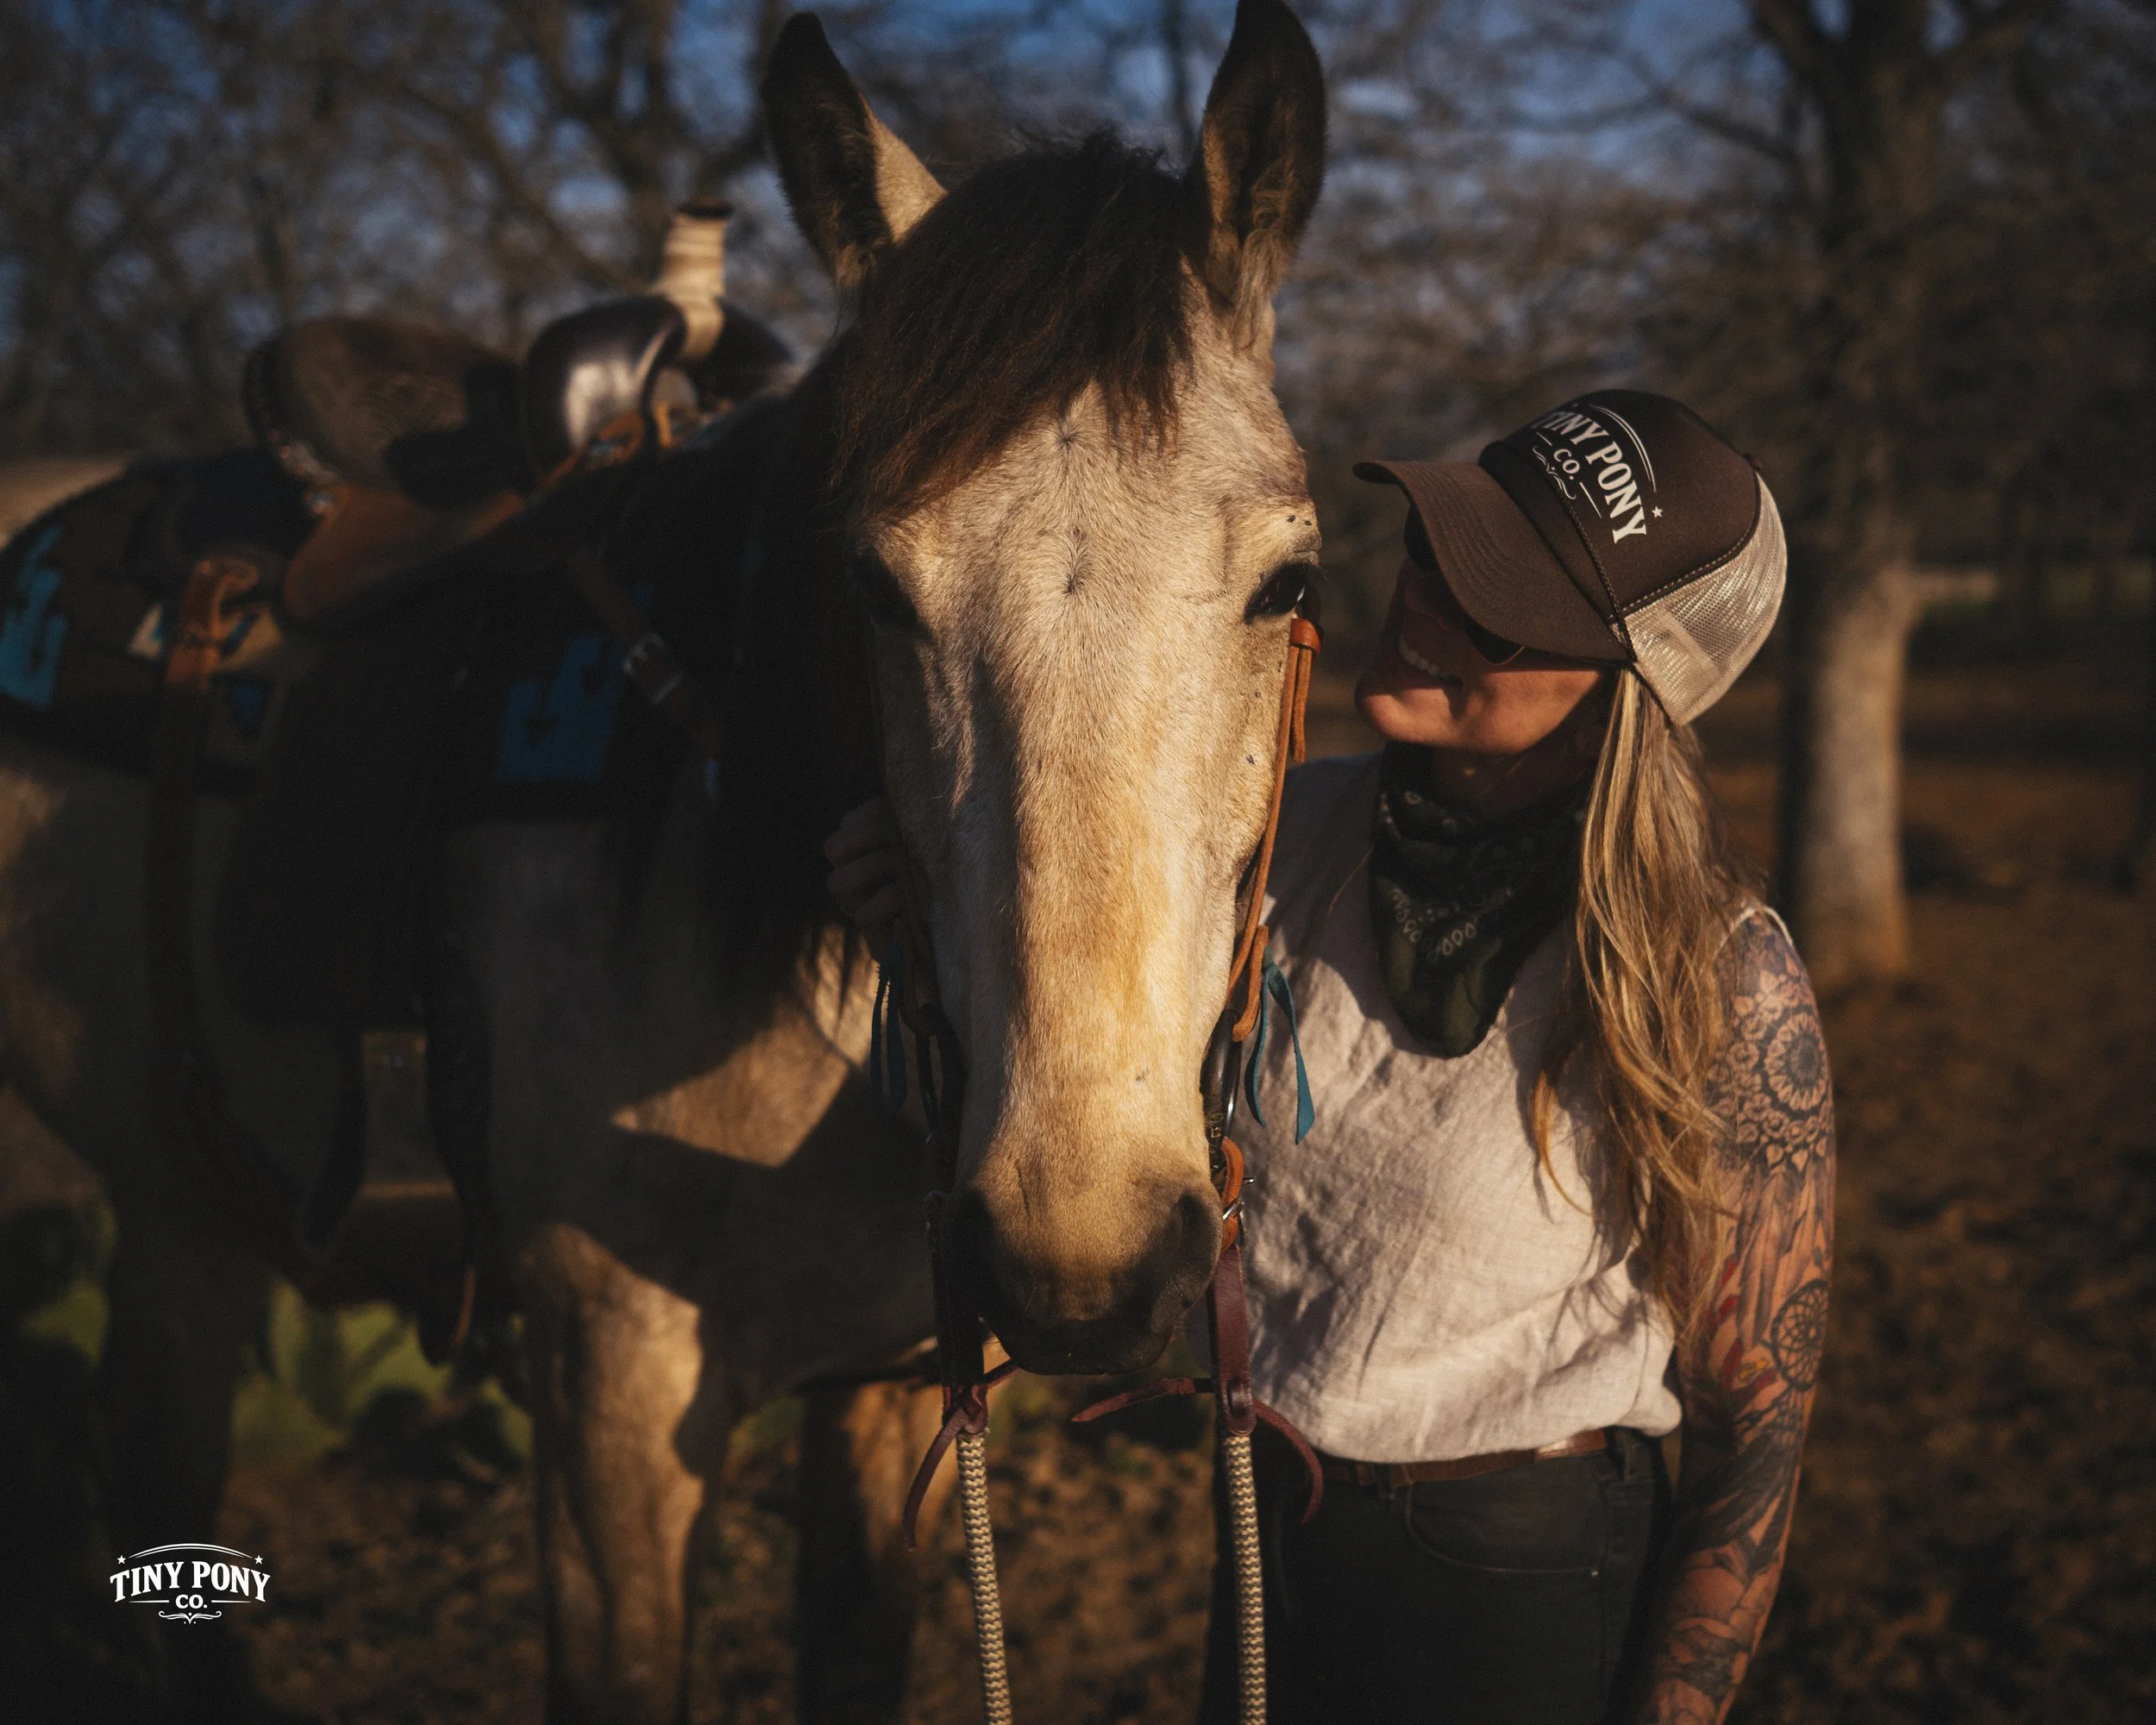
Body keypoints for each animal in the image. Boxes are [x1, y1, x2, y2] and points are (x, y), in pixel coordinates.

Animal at [0, 0, 1327, 1717]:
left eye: (1290, 580)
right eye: (870, 585)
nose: (1081, 1262)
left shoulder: (888, 1378)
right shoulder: (609, 1401)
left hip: (188, 1217)